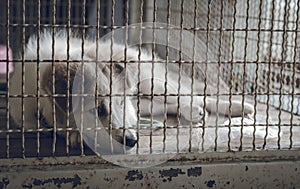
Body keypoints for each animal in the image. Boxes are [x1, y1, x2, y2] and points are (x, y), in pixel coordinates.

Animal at [8, 31, 253, 152]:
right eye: (96, 109)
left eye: (117, 103)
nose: (133, 141)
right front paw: (74, 134)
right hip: (146, 103)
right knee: (175, 104)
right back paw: (193, 111)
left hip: (153, 85)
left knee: (190, 95)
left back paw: (234, 107)